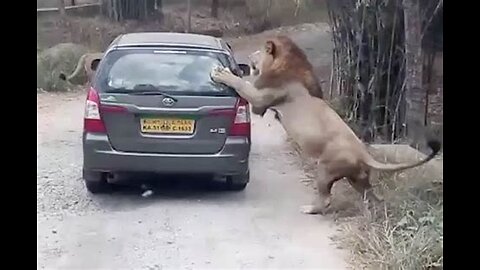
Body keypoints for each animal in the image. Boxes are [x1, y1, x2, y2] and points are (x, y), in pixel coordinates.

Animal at [212, 35, 440, 215]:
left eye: (259, 52)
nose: (250, 55)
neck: (287, 64)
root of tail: (363, 152)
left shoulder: (261, 98)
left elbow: (242, 83)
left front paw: (222, 74)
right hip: (358, 179)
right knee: (373, 196)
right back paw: (374, 213)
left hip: (325, 168)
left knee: (326, 198)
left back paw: (310, 209)